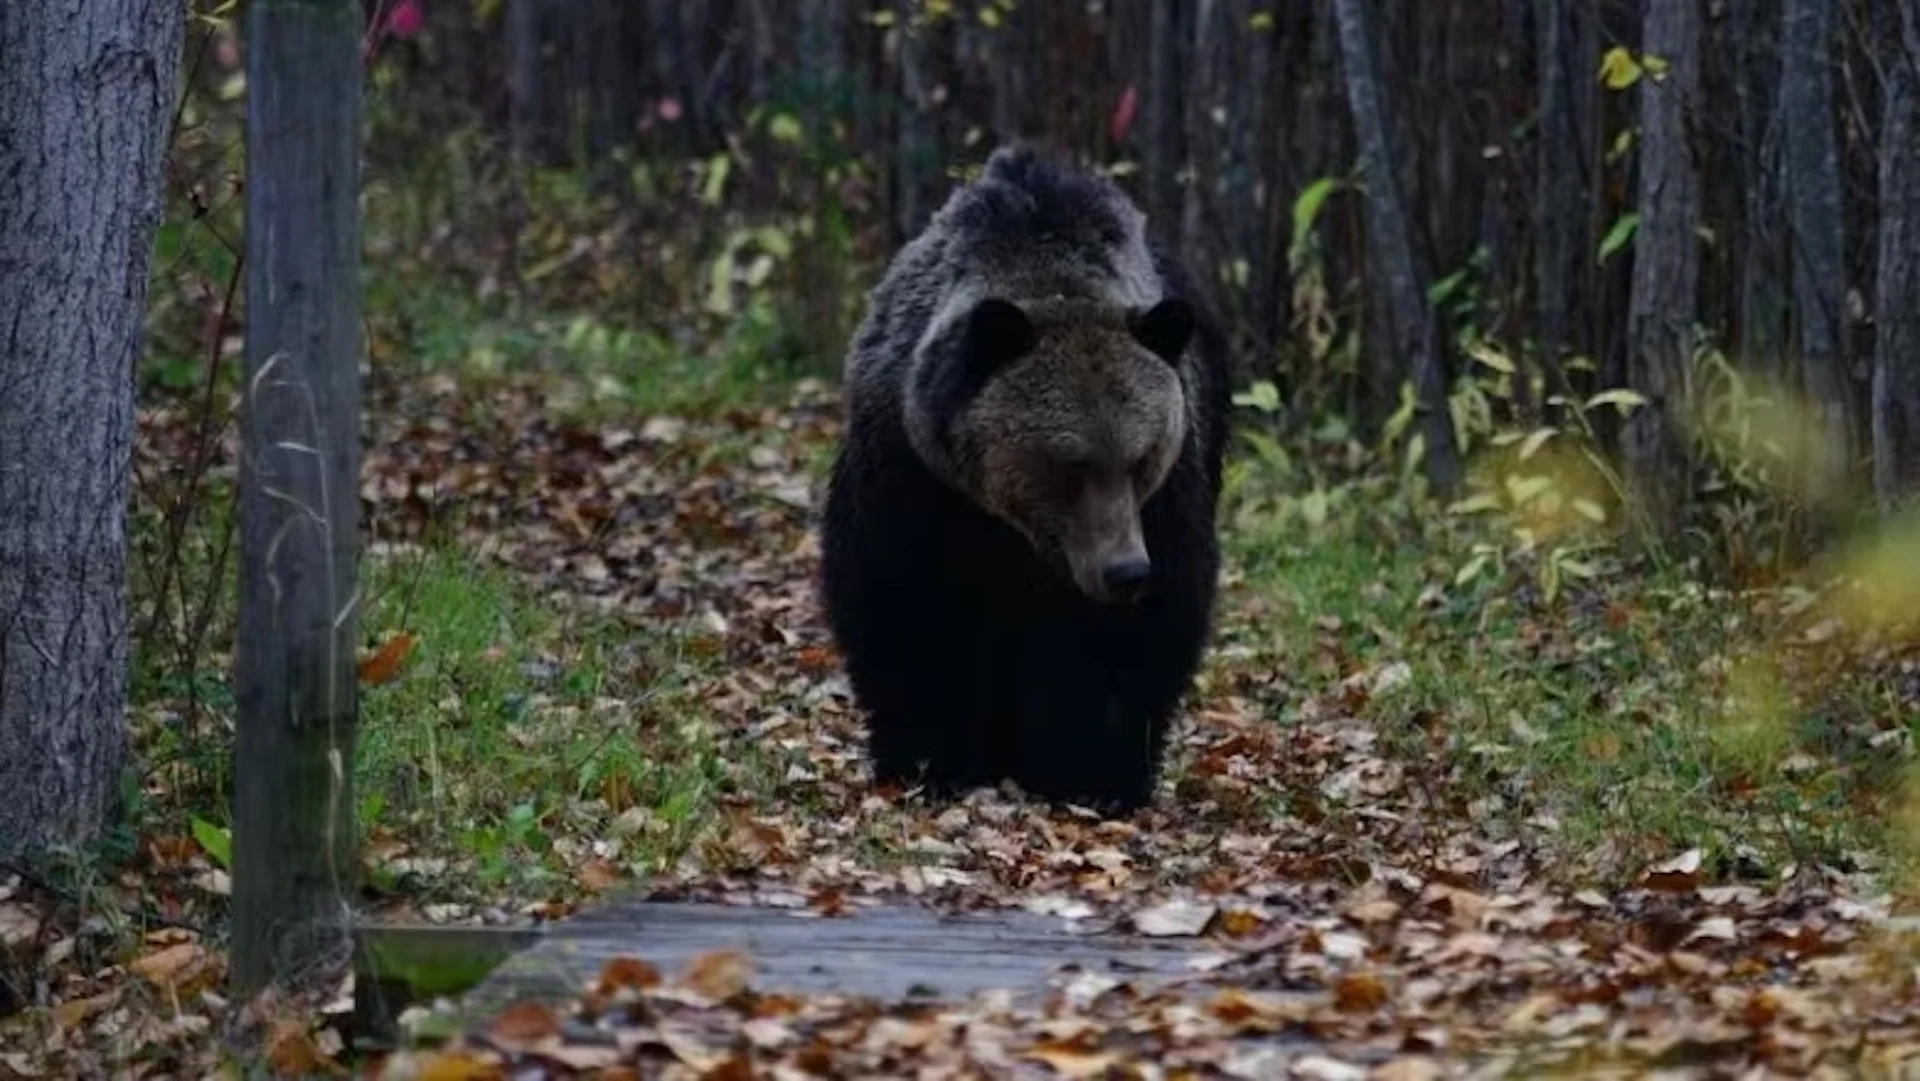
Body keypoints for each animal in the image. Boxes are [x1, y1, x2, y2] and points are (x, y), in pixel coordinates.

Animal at [814, 145, 1228, 821]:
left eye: (1140, 458)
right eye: (1072, 463)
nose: (1124, 572)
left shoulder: (1167, 502)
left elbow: (1132, 640)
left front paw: (1096, 772)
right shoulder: (913, 480)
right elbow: (908, 608)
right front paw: (931, 758)